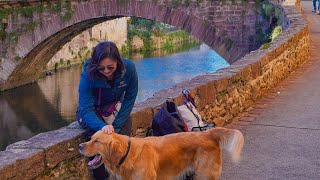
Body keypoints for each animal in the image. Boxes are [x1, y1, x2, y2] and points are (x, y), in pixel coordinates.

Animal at [79, 127, 244, 179]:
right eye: (90, 138)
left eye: (97, 141)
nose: (80, 145)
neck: (128, 154)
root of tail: (207, 133)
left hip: (205, 173)